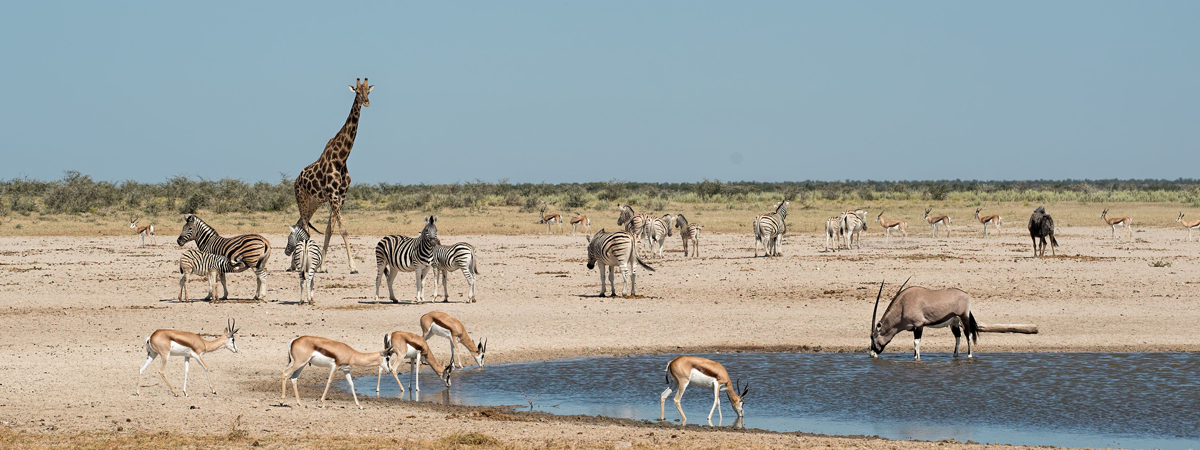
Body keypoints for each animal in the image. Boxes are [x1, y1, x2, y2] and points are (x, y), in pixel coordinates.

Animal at [292, 77, 372, 273]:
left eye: (368, 91)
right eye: (357, 92)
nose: (366, 102)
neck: (341, 158)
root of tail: (295, 180)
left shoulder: (340, 197)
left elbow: (330, 230)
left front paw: (322, 266)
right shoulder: (333, 196)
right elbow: (343, 230)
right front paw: (353, 266)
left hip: (314, 202)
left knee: (300, 223)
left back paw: (293, 264)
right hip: (302, 198)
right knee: (304, 226)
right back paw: (300, 264)